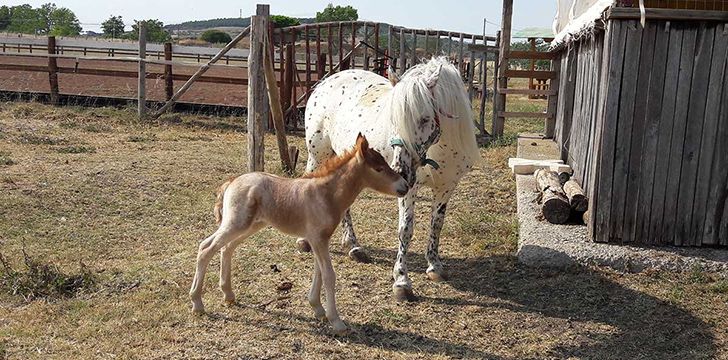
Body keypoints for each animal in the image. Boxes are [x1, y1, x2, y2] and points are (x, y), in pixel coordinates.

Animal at [189, 134, 410, 334]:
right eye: (379, 169)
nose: (405, 186)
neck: (326, 195)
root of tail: (232, 181)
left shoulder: (319, 239)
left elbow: (319, 272)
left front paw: (318, 309)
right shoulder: (318, 239)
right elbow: (329, 275)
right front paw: (336, 321)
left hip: (250, 226)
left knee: (226, 248)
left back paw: (228, 295)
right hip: (236, 223)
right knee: (206, 247)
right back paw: (198, 303)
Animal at [298, 57, 480, 300]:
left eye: (425, 118)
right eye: (394, 119)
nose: (400, 170)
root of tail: (327, 81)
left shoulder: (446, 187)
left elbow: (436, 225)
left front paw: (434, 266)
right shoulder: (409, 189)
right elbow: (405, 229)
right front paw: (402, 281)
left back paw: (354, 246)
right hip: (317, 156)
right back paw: (305, 241)